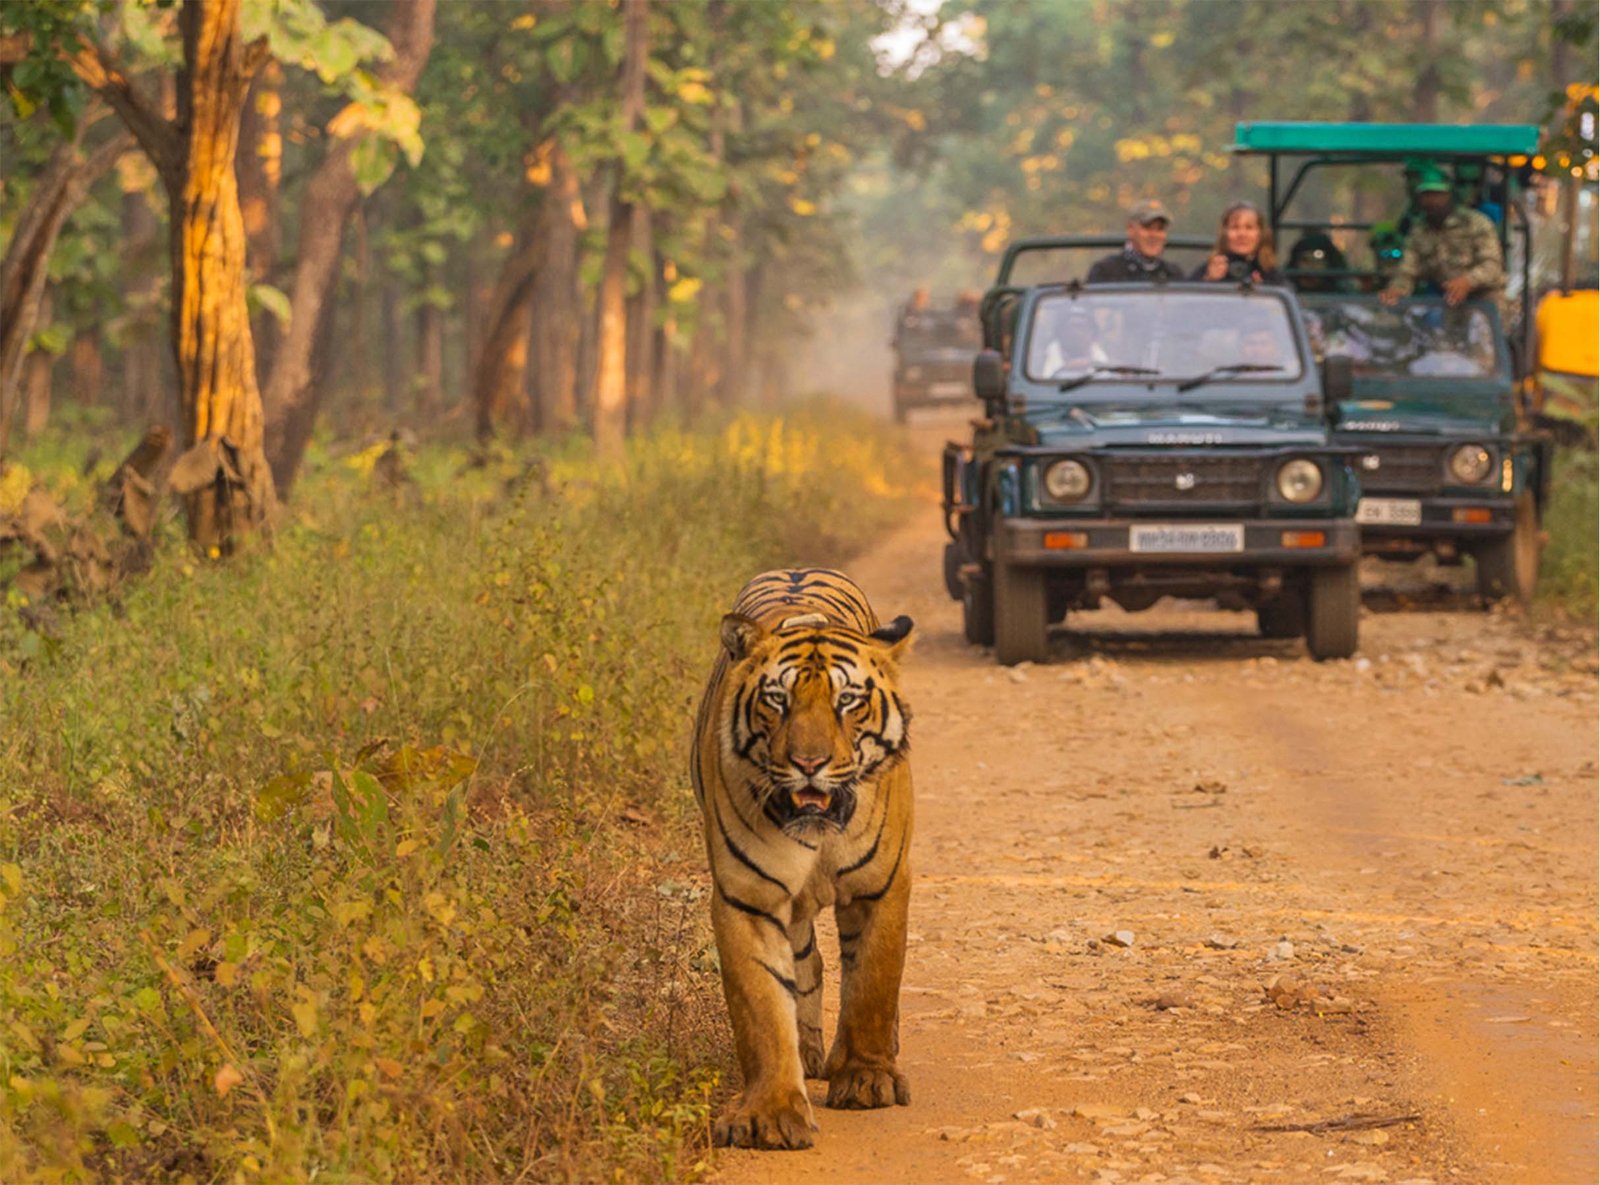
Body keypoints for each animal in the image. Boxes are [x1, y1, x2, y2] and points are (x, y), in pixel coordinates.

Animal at [690, 567, 915, 1151]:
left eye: (848, 701)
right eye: (777, 700)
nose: (808, 763)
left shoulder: (881, 887)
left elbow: (874, 982)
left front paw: (867, 1078)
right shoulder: (748, 897)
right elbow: (763, 1008)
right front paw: (770, 1114)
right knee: (808, 963)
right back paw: (811, 1052)